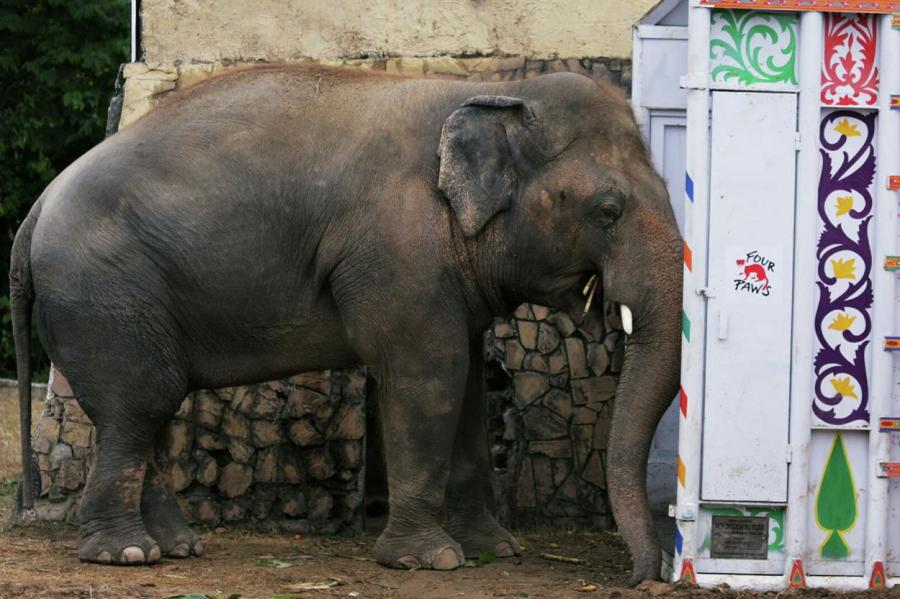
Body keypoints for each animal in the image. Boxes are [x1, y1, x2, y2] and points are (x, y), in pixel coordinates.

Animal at [8, 67, 684, 584]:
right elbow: (429, 375)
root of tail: (36, 208)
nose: (637, 577)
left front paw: (495, 551)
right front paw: (430, 561)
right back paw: (126, 554)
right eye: (607, 210)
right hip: (105, 291)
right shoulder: (397, 250)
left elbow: (466, 385)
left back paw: (177, 546)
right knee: (138, 405)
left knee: (147, 408)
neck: (495, 91)